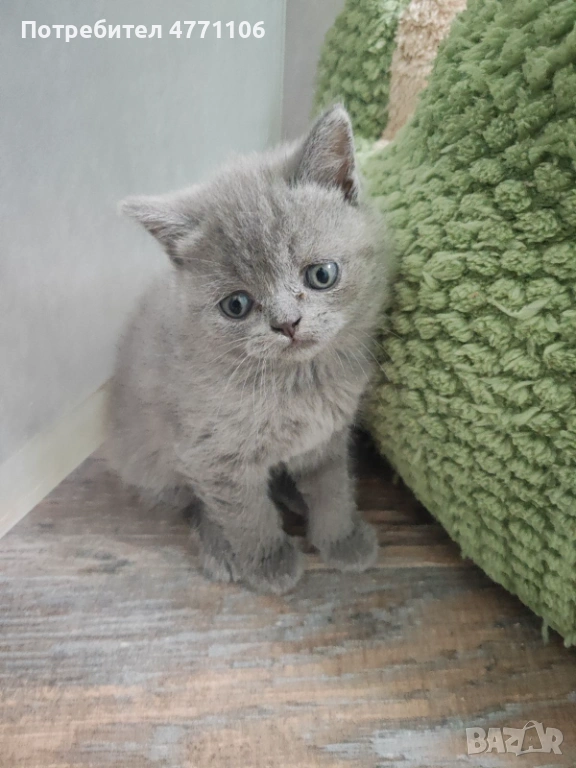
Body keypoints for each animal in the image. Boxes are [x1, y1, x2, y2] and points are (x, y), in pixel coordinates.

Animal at [106, 104, 392, 594]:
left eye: (322, 275)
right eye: (236, 305)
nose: (287, 323)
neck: (299, 385)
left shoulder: (328, 438)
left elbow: (333, 488)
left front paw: (340, 539)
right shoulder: (212, 455)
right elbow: (245, 513)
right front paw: (269, 563)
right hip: (152, 458)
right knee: (191, 501)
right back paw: (222, 550)